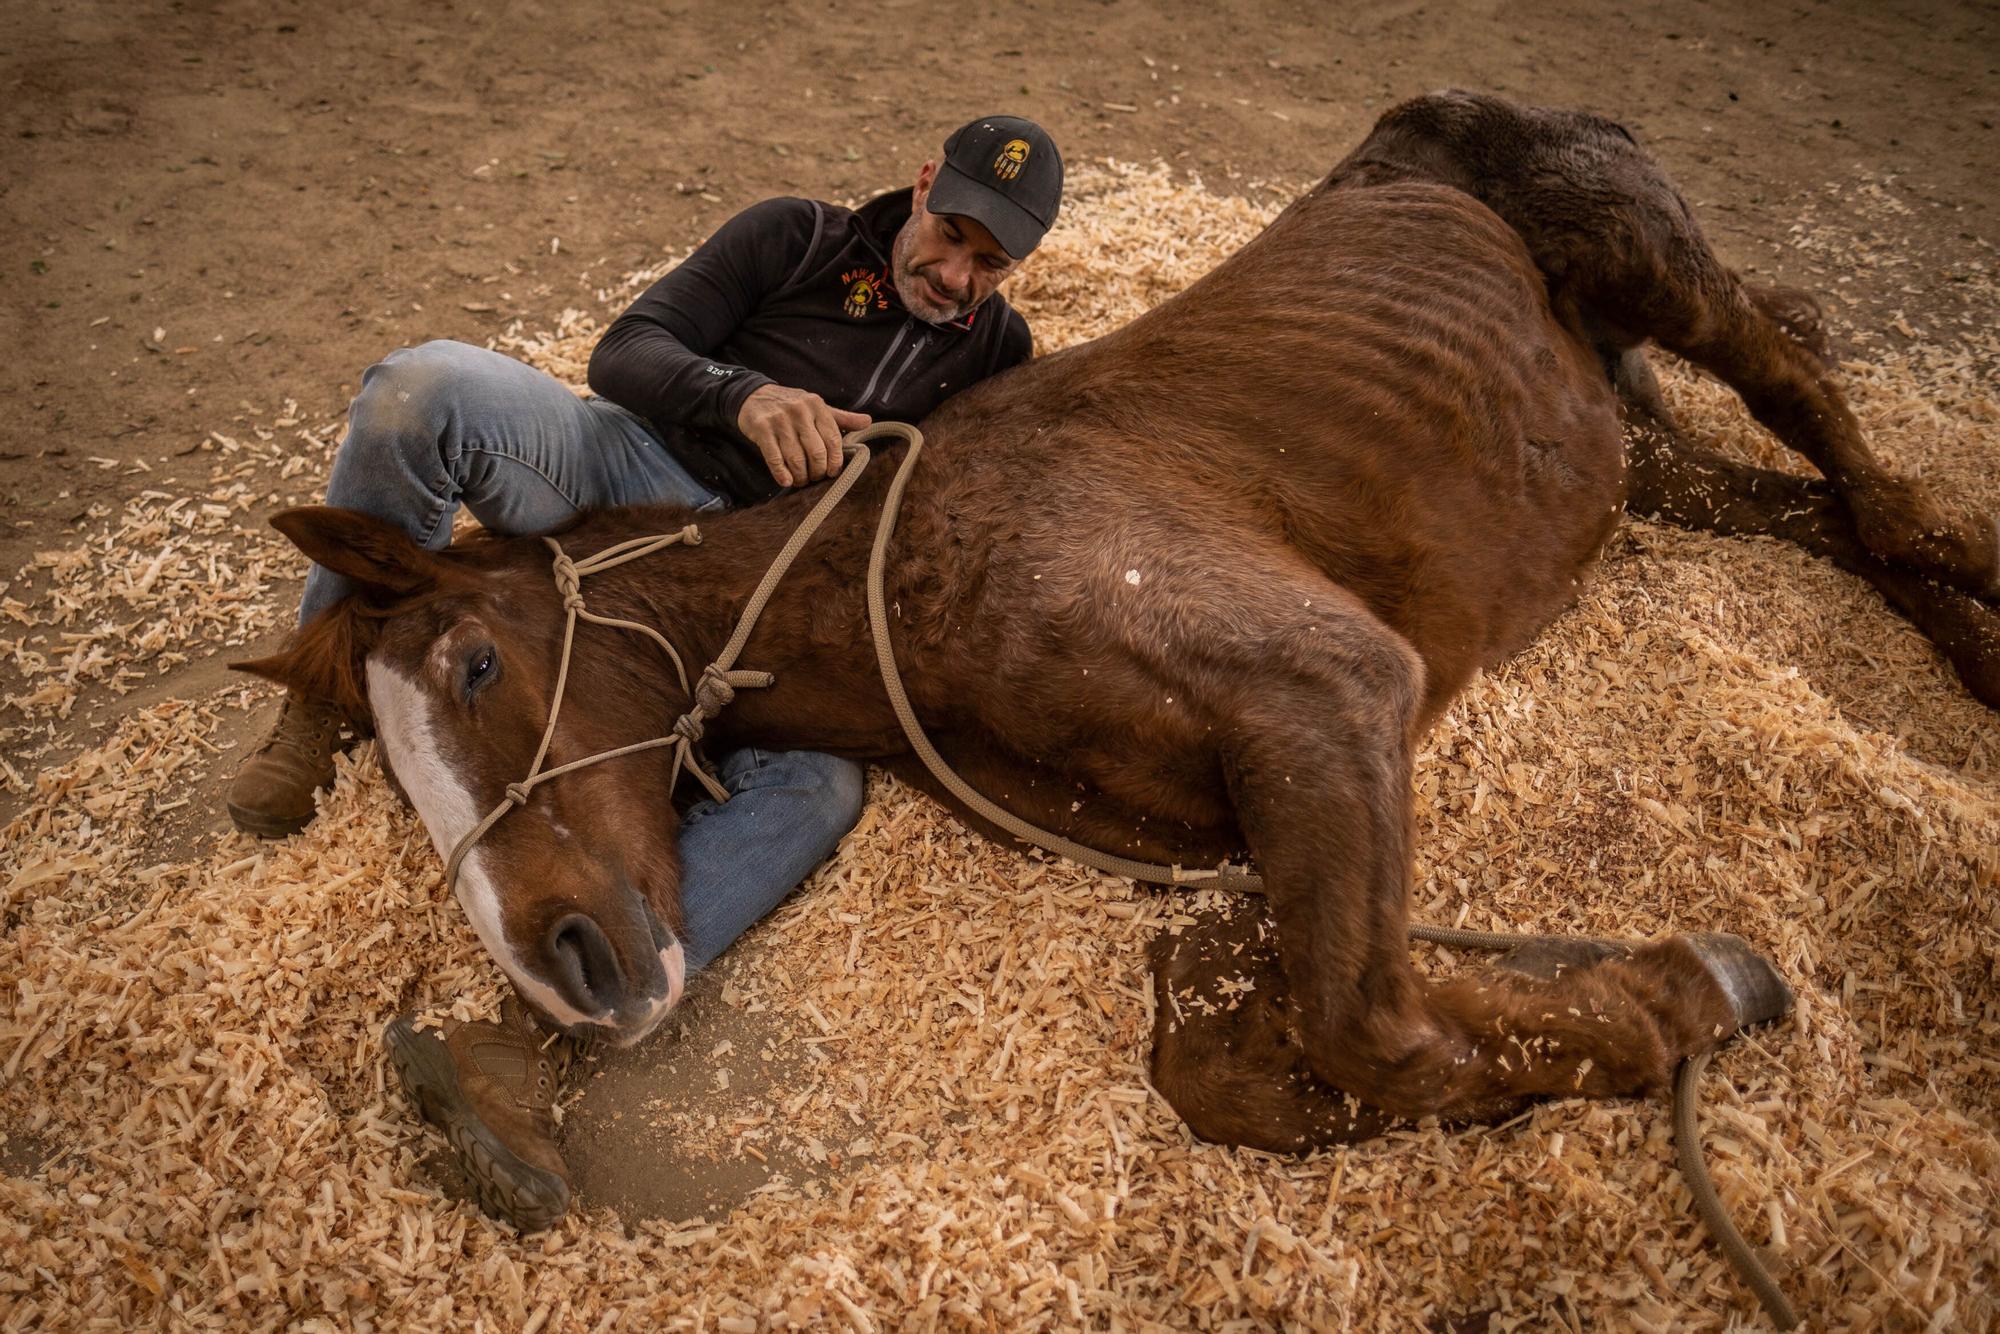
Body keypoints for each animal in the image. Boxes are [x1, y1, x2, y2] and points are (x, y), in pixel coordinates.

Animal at [238, 94, 2000, 1152]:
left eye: (476, 663)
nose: (568, 970)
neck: (913, 569)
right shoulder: (1230, 825)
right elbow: (1239, 1050)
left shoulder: (1328, 693)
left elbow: (1376, 1026)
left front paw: (1693, 987)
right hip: (1627, 457)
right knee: (1816, 516)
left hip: (1657, 265)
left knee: (1826, 419)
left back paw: (1970, 596)